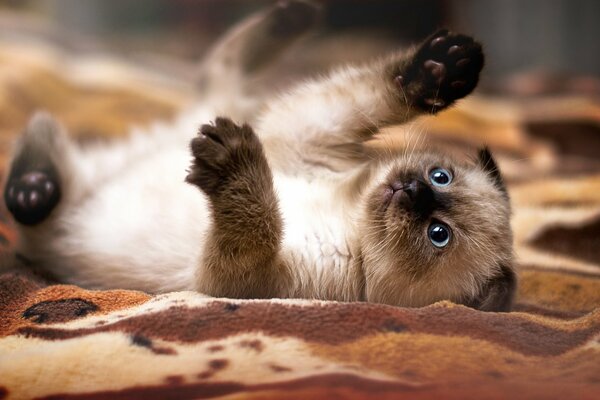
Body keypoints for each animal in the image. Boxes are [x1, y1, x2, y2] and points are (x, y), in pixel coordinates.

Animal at [1, 2, 516, 310]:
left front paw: (235, 163)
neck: (347, 214)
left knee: (35, 178)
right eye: (442, 175)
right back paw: (295, 17)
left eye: (438, 235)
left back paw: (32, 190)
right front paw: (442, 68)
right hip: (200, 119)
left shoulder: (237, 280)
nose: (413, 189)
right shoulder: (305, 130)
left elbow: (259, 215)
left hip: (68, 203)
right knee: (218, 72)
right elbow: (369, 95)